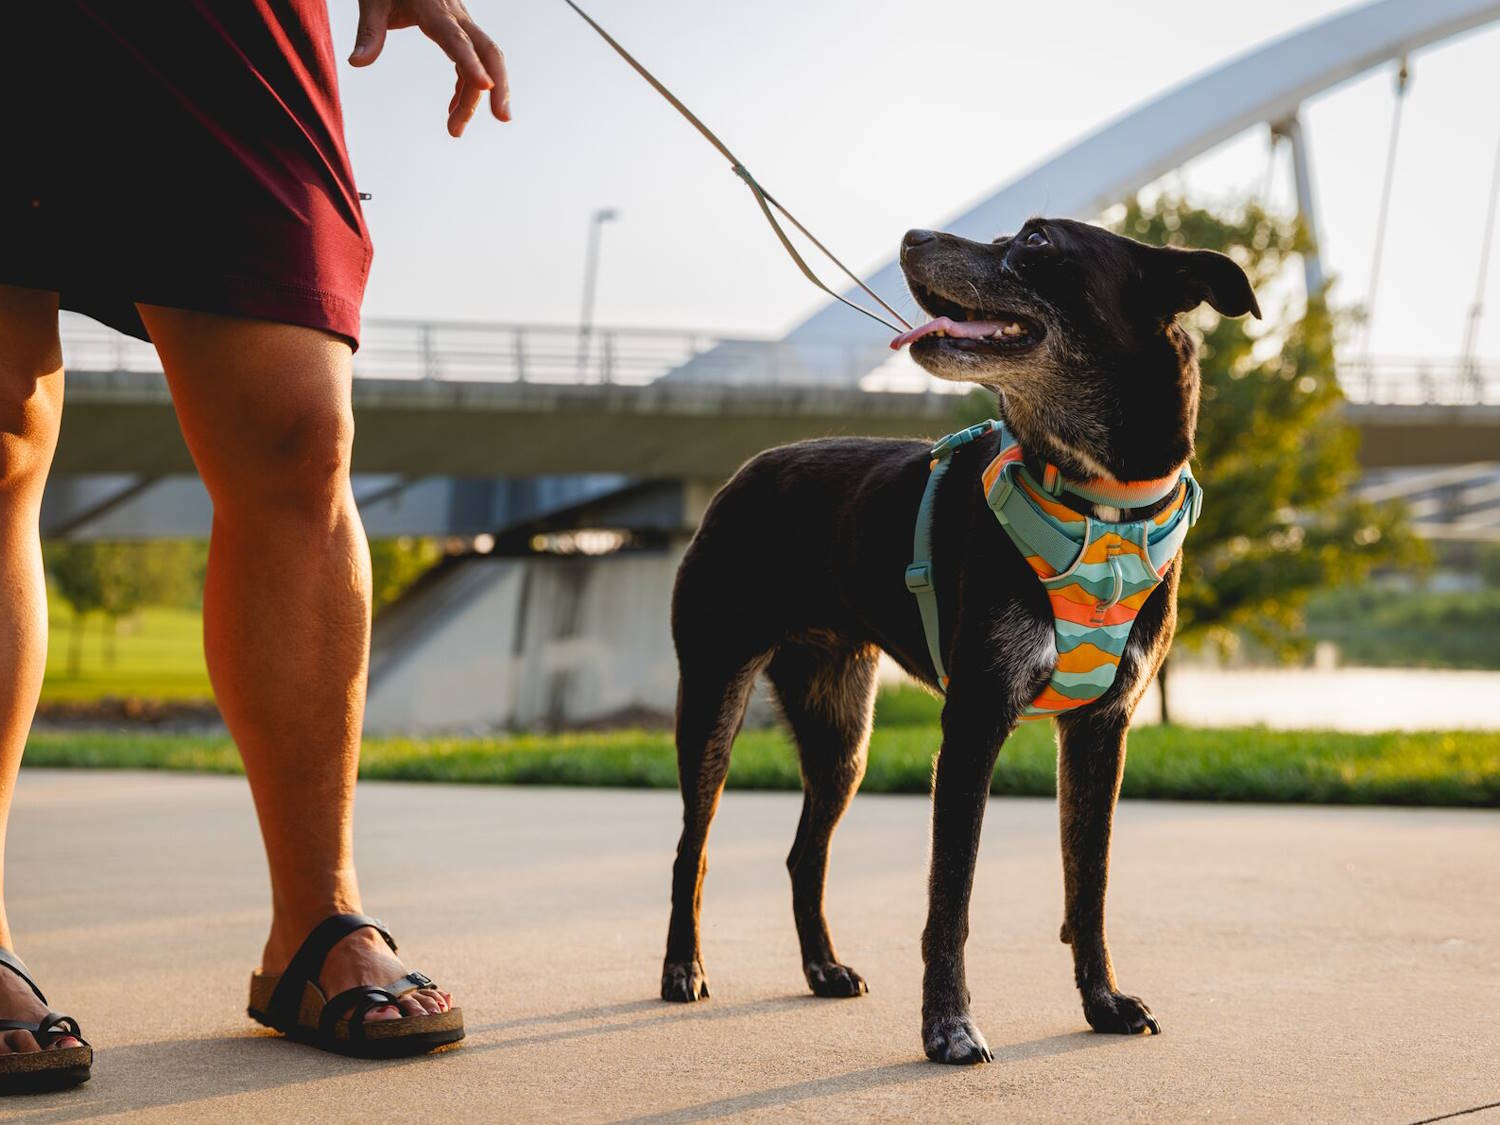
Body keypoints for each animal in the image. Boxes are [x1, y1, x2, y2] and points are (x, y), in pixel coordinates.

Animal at [663, 217, 1260, 1068]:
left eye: (1037, 240)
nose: (912, 235)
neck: (1100, 504)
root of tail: (743, 473)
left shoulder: (1101, 729)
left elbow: (1090, 882)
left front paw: (1104, 1001)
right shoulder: (974, 721)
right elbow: (953, 895)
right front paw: (948, 1025)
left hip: (841, 730)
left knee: (804, 852)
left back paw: (822, 967)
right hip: (715, 691)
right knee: (695, 845)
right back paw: (683, 967)